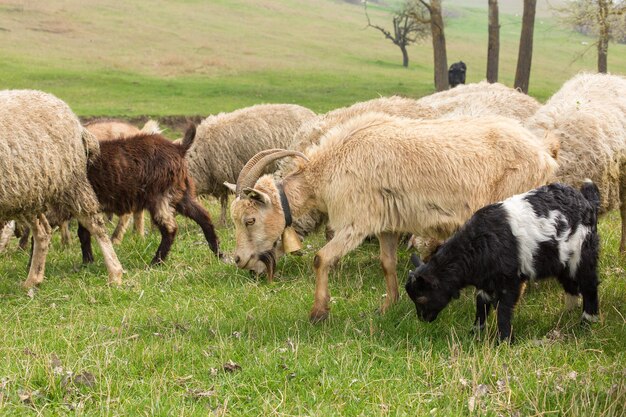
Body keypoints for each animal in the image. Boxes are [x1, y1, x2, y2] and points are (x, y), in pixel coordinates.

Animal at [0, 89, 123, 288]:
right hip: (30, 193)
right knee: (43, 232)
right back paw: (33, 280)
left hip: (71, 183)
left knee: (95, 224)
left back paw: (115, 274)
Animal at [78, 126, 219, 264]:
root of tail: (178, 148)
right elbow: (84, 232)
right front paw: (88, 262)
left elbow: (84, 233)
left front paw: (87, 262)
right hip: (180, 193)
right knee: (203, 216)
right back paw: (218, 252)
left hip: (160, 195)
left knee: (170, 228)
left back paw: (156, 261)